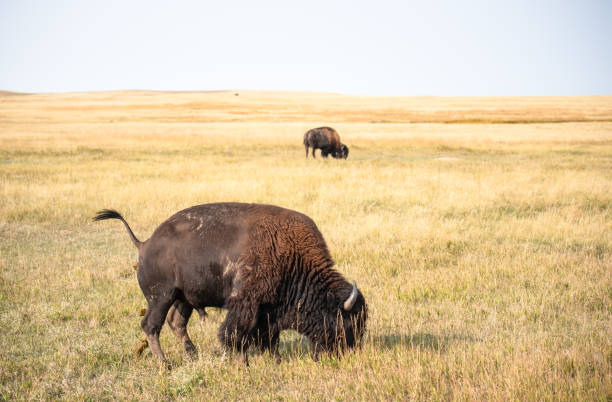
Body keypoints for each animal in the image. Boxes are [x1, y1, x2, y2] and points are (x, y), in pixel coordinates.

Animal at [93, 203, 366, 366]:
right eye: (347, 323)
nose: (348, 352)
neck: (293, 258)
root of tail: (144, 244)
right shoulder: (246, 304)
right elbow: (236, 334)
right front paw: (243, 363)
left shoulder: (268, 311)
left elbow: (269, 338)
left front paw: (275, 360)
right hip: (160, 298)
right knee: (151, 326)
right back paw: (165, 364)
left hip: (184, 299)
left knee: (176, 323)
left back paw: (192, 355)